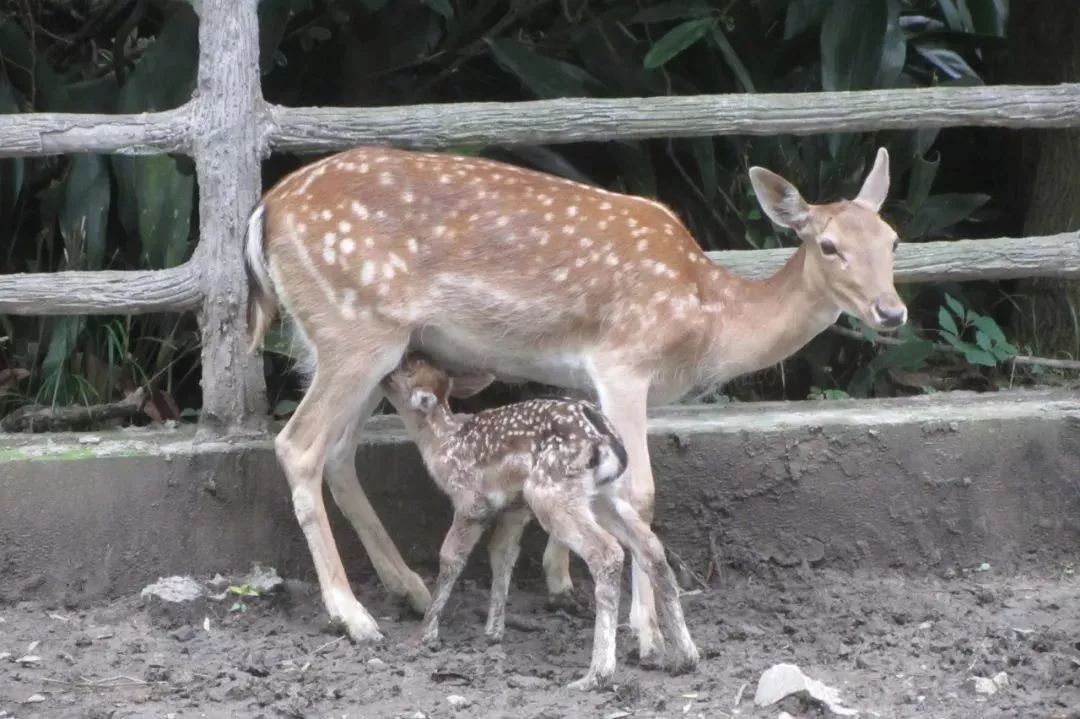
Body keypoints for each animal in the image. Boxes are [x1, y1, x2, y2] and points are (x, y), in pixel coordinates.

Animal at [243, 145, 902, 665]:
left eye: (893, 240)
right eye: (829, 245)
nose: (892, 312)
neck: (705, 320)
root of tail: (264, 210)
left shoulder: (583, 382)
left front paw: (561, 579)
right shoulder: (624, 361)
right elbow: (641, 493)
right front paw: (645, 635)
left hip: (363, 347)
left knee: (338, 454)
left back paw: (409, 589)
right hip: (355, 330)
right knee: (299, 445)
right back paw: (354, 618)